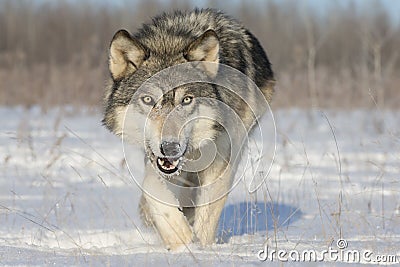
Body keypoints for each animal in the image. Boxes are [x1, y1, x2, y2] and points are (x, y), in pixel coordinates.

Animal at [102, 7, 276, 251]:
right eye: (148, 100)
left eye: (186, 100)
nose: (170, 147)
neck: (170, 42)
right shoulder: (157, 162)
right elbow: (152, 188)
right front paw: (179, 237)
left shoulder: (221, 160)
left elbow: (207, 214)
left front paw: (197, 248)